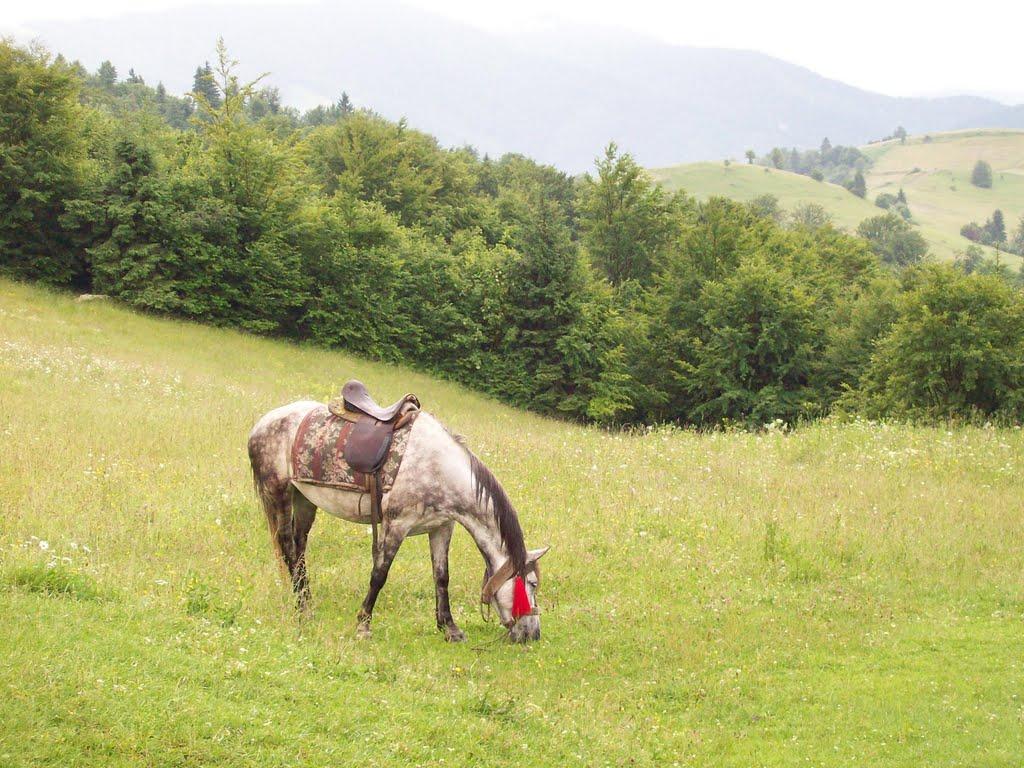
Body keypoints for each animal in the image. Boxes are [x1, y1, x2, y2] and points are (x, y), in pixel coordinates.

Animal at [246, 397, 548, 643]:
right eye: (532, 584)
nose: (533, 634)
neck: (440, 468)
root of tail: (263, 422)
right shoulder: (397, 525)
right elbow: (379, 574)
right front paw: (363, 626)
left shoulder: (441, 527)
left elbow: (442, 577)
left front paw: (449, 628)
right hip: (279, 493)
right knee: (287, 546)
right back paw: (302, 608)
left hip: (305, 498)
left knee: (299, 548)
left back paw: (307, 603)